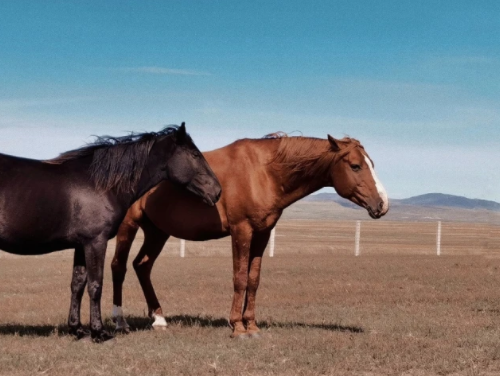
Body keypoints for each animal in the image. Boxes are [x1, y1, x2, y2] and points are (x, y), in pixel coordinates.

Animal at [111, 134, 388, 338]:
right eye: (355, 166)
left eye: (372, 164)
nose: (382, 204)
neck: (264, 172)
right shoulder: (241, 229)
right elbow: (240, 278)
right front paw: (238, 327)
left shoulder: (262, 232)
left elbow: (253, 279)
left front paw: (252, 325)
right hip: (129, 226)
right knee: (118, 266)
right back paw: (120, 321)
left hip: (157, 231)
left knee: (142, 266)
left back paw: (158, 317)